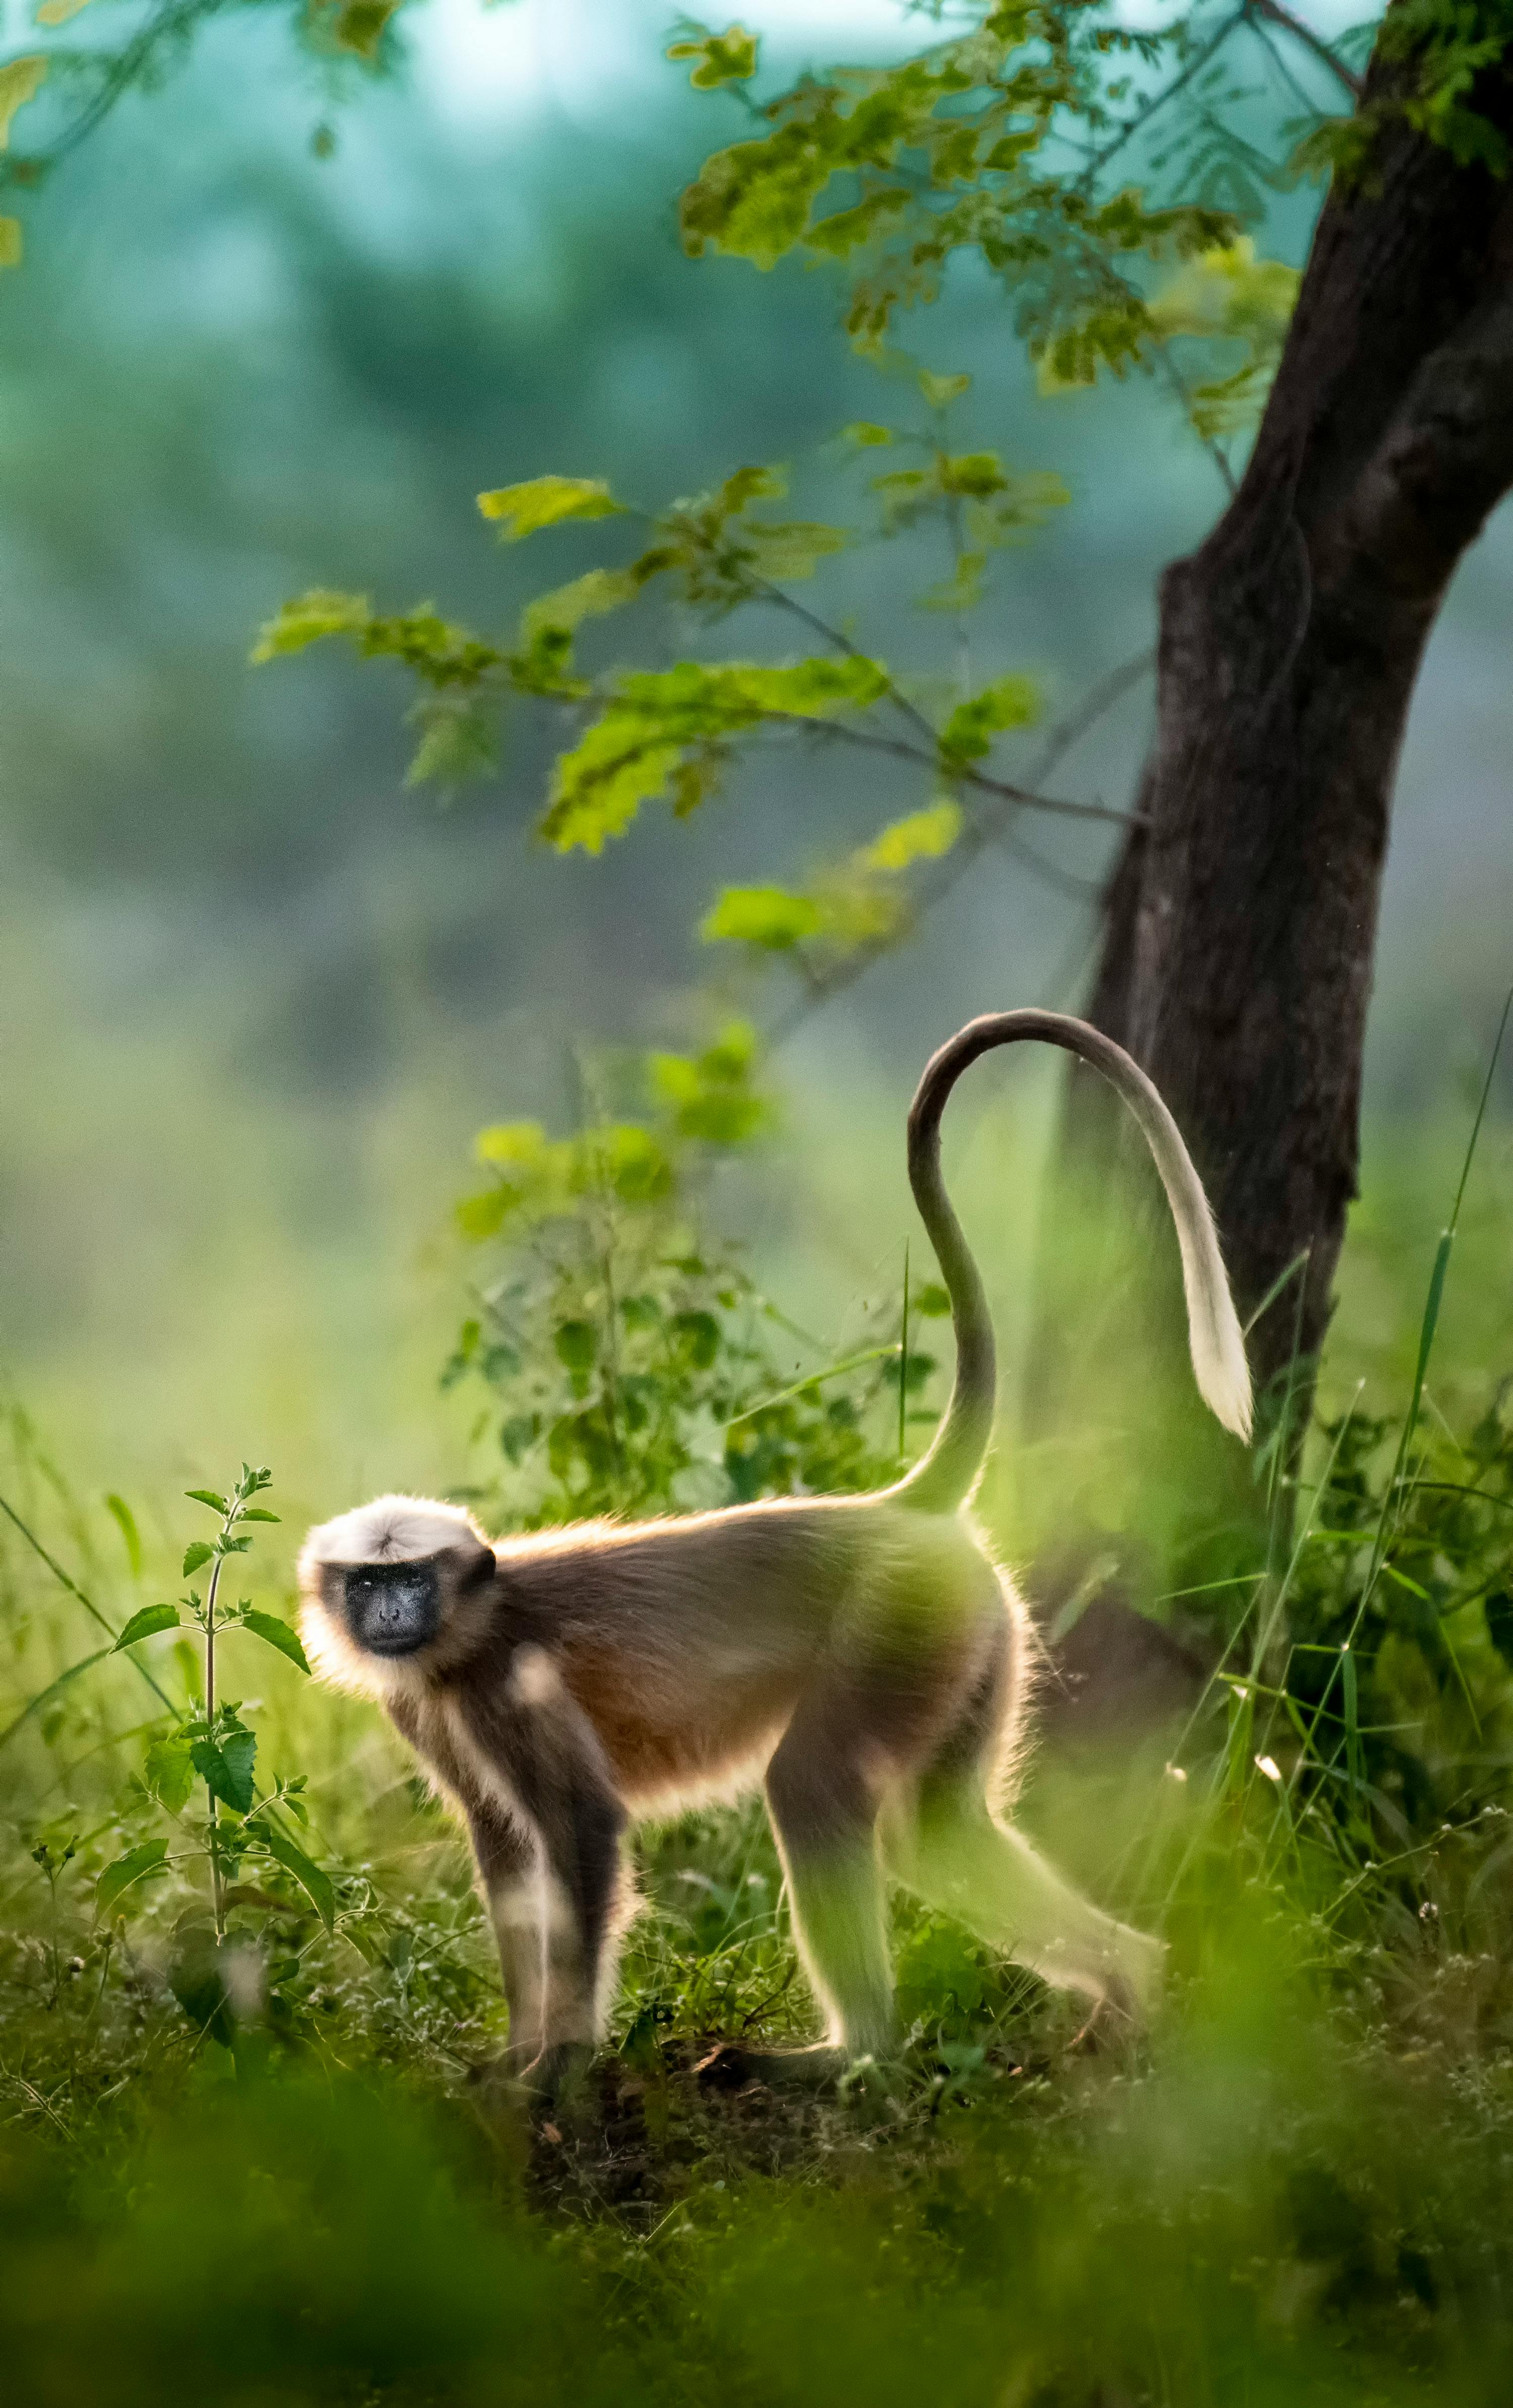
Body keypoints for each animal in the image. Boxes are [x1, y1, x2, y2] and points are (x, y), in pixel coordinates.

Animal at [299, 1006, 1253, 2099]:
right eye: (370, 1580)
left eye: (411, 1577)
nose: (391, 1613)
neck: (472, 1626)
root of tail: (894, 1509)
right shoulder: (430, 1702)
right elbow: (505, 1853)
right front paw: (516, 2051)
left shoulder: (507, 1680)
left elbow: (581, 1827)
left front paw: (562, 2059)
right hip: (967, 1636)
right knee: (935, 1834)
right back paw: (1127, 1987)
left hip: (897, 1625)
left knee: (816, 1786)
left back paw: (856, 2051)